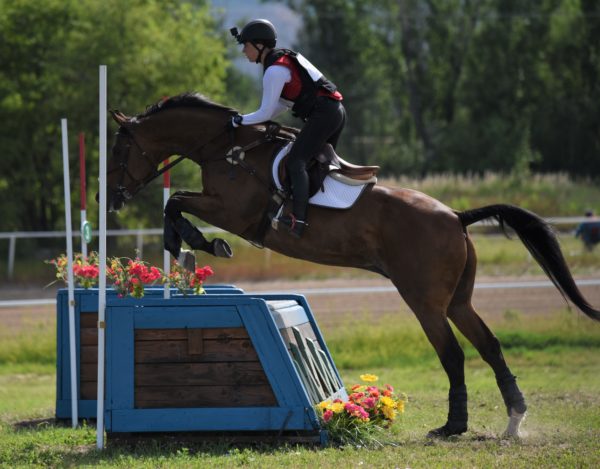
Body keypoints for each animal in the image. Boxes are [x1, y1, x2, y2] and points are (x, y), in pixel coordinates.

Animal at [104, 92, 600, 438]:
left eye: (119, 152)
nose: (112, 200)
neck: (226, 148)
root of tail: (456, 216)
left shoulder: (234, 212)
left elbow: (177, 202)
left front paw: (195, 242)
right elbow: (177, 203)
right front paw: (189, 245)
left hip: (424, 300)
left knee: (453, 353)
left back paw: (452, 426)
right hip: (458, 301)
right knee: (489, 345)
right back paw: (514, 418)